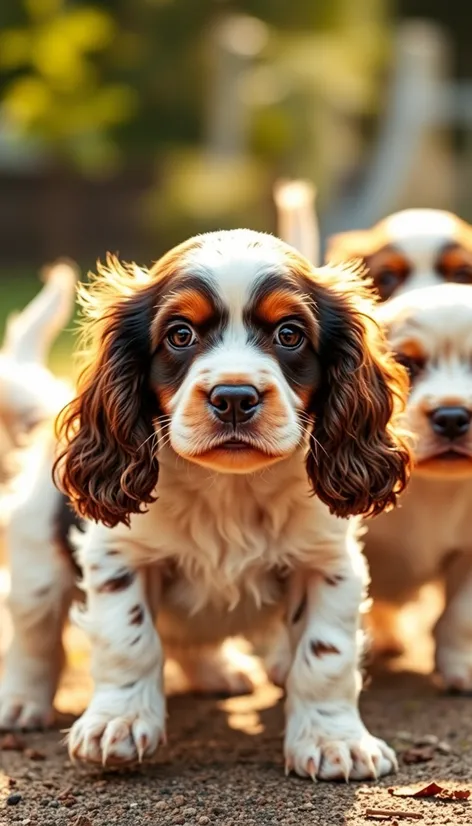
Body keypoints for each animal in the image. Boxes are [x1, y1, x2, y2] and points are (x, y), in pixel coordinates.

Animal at [1, 230, 412, 780]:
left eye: (289, 334)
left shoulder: (328, 563)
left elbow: (325, 655)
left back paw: (219, 672)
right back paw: (21, 702)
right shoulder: (118, 555)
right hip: (36, 566)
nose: (234, 396)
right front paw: (119, 723)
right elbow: (129, 639)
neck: (229, 489)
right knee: (35, 635)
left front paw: (334, 741)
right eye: (180, 335)